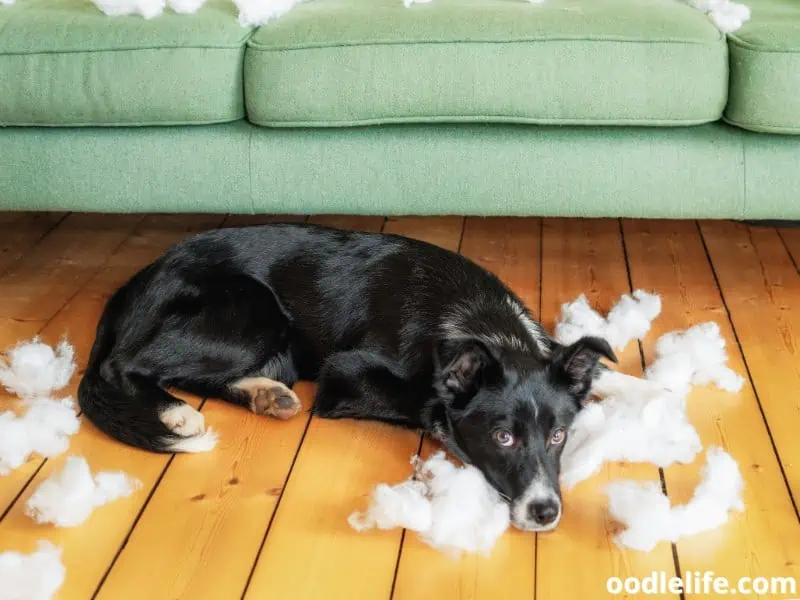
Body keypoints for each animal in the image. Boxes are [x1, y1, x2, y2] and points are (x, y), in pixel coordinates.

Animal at [79, 223, 624, 532]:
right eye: (502, 437)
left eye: (559, 435)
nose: (545, 512)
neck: (479, 325)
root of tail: (141, 276)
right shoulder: (345, 373)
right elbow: (422, 400)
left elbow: (602, 373)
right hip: (256, 314)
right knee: (123, 365)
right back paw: (175, 414)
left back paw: (267, 396)